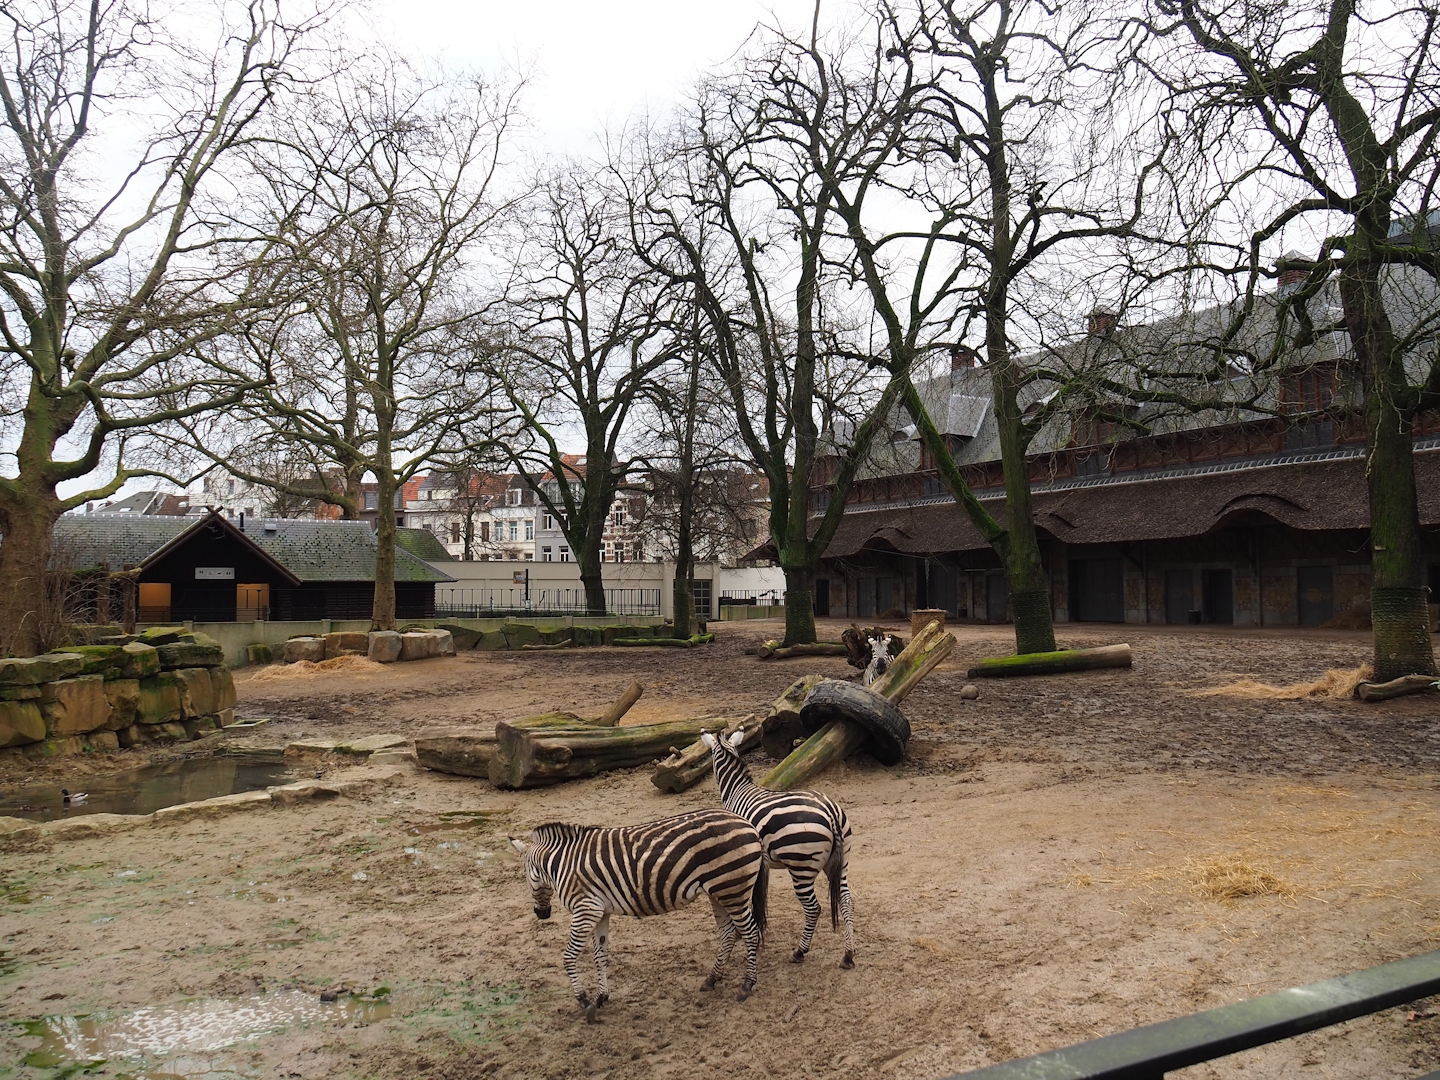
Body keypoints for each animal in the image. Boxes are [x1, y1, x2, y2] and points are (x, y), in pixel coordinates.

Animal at [509, 808, 769, 1016]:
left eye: (526, 874)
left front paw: (583, 1000)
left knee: (750, 933)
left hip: (732, 888)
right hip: (719, 891)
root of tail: (749, 825)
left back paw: (747, 985)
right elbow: (600, 956)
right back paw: (712, 979)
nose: (541, 914)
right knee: (728, 934)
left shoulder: (586, 909)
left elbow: (568, 956)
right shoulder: (600, 912)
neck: (561, 864)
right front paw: (601, 997)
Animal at [701, 729, 857, 968]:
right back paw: (848, 954)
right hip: (841, 862)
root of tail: (830, 811)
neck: (736, 790)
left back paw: (799, 952)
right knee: (846, 900)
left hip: (801, 867)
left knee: (813, 909)